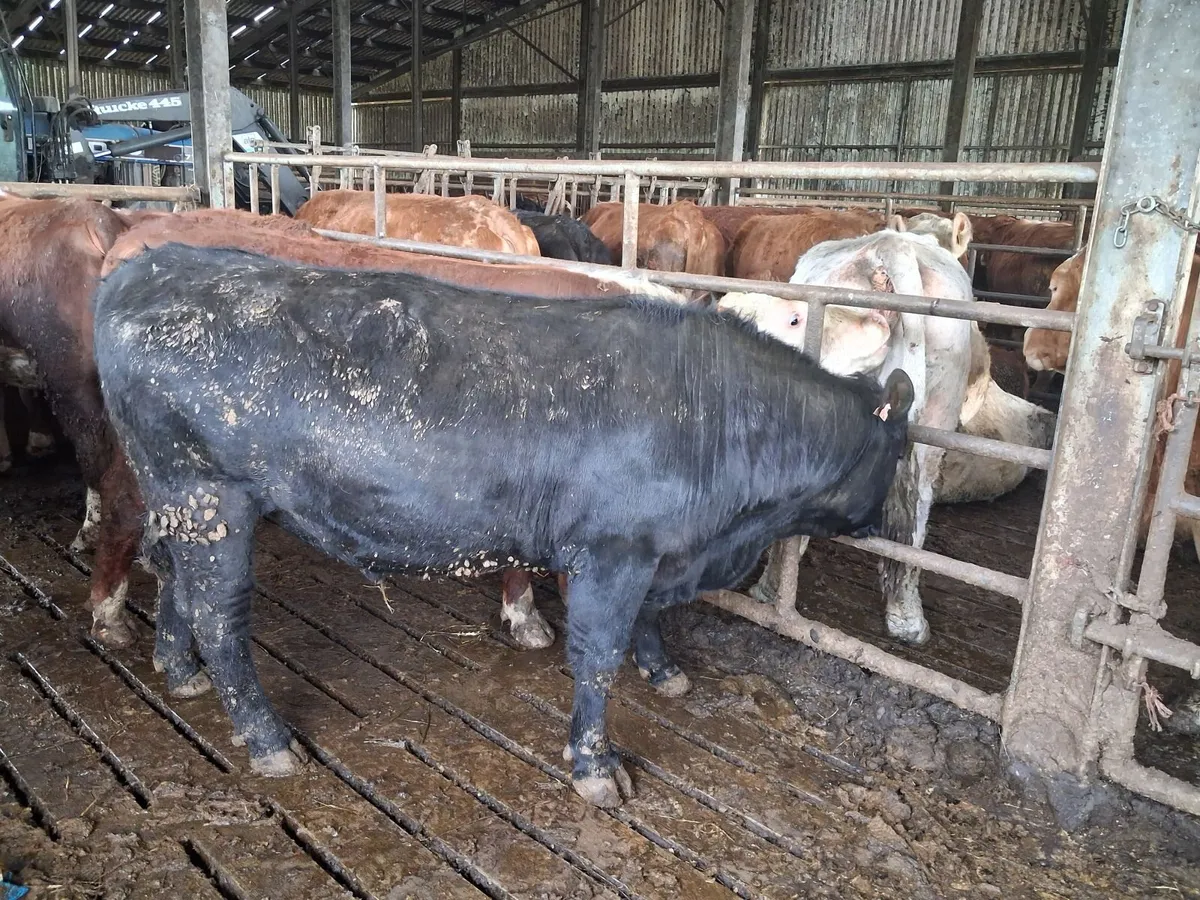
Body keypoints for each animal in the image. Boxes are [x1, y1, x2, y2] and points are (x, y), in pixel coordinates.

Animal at [93, 242, 915, 808]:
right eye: (903, 450)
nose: (884, 522)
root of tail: (152, 263)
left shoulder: (653, 551)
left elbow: (647, 624)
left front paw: (664, 671)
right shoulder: (612, 552)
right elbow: (598, 657)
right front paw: (595, 766)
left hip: (179, 499)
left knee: (176, 580)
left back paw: (180, 672)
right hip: (210, 497)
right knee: (219, 615)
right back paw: (265, 738)